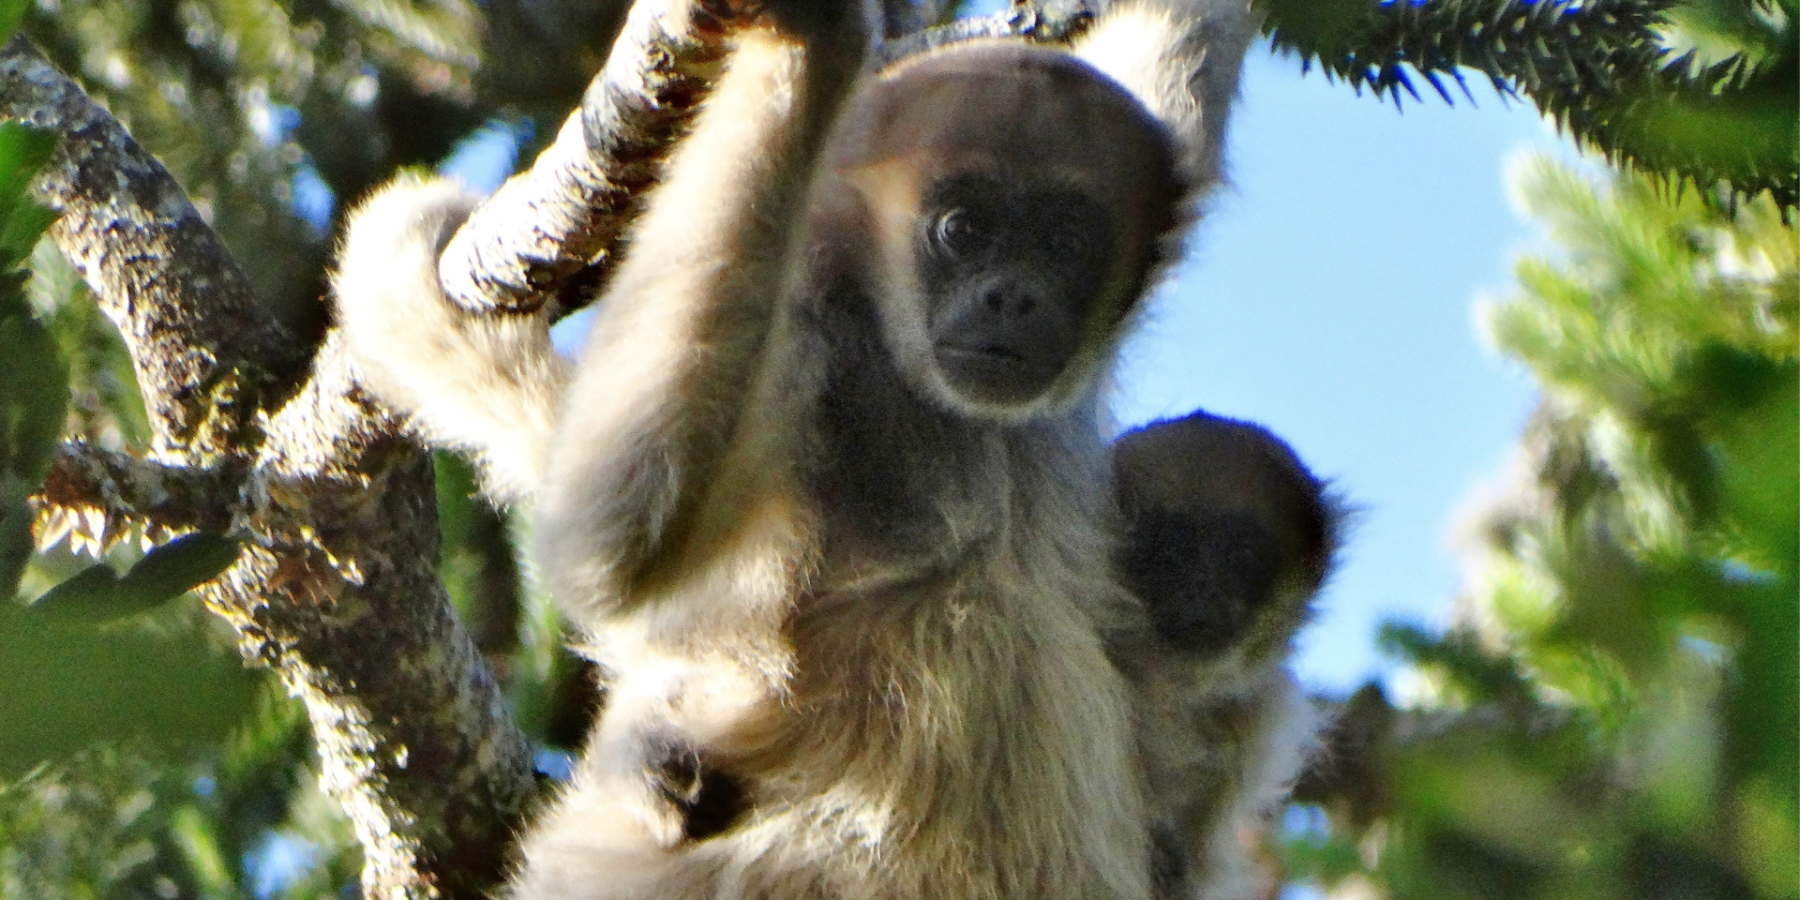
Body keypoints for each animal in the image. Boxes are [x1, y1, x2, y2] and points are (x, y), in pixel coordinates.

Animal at [331, 1, 1332, 900]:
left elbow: (1178, 57)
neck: (959, 421)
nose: (1012, 298)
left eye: (1062, 241)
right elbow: (607, 538)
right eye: (962, 231)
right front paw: (811, 46)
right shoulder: (815, 326)